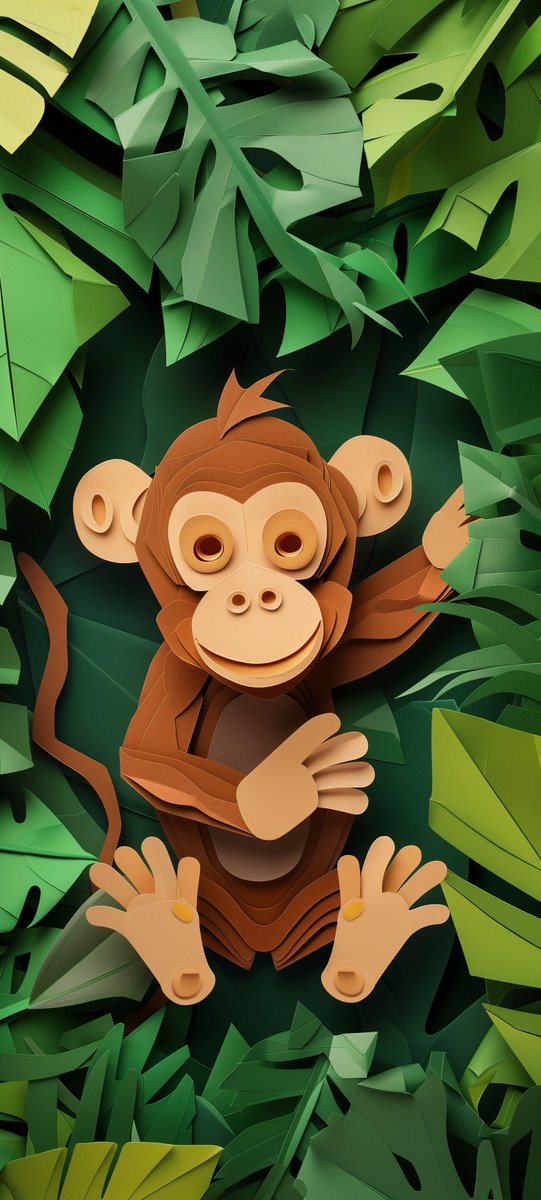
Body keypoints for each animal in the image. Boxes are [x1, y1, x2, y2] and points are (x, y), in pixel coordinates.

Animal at [58, 369, 468, 1006]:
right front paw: (281, 791)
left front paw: (449, 538)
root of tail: (264, 944)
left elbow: (380, 627)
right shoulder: (172, 671)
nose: (253, 596)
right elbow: (146, 758)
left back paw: (368, 928)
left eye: (290, 543)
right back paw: (167, 931)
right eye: (207, 549)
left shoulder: (329, 655)